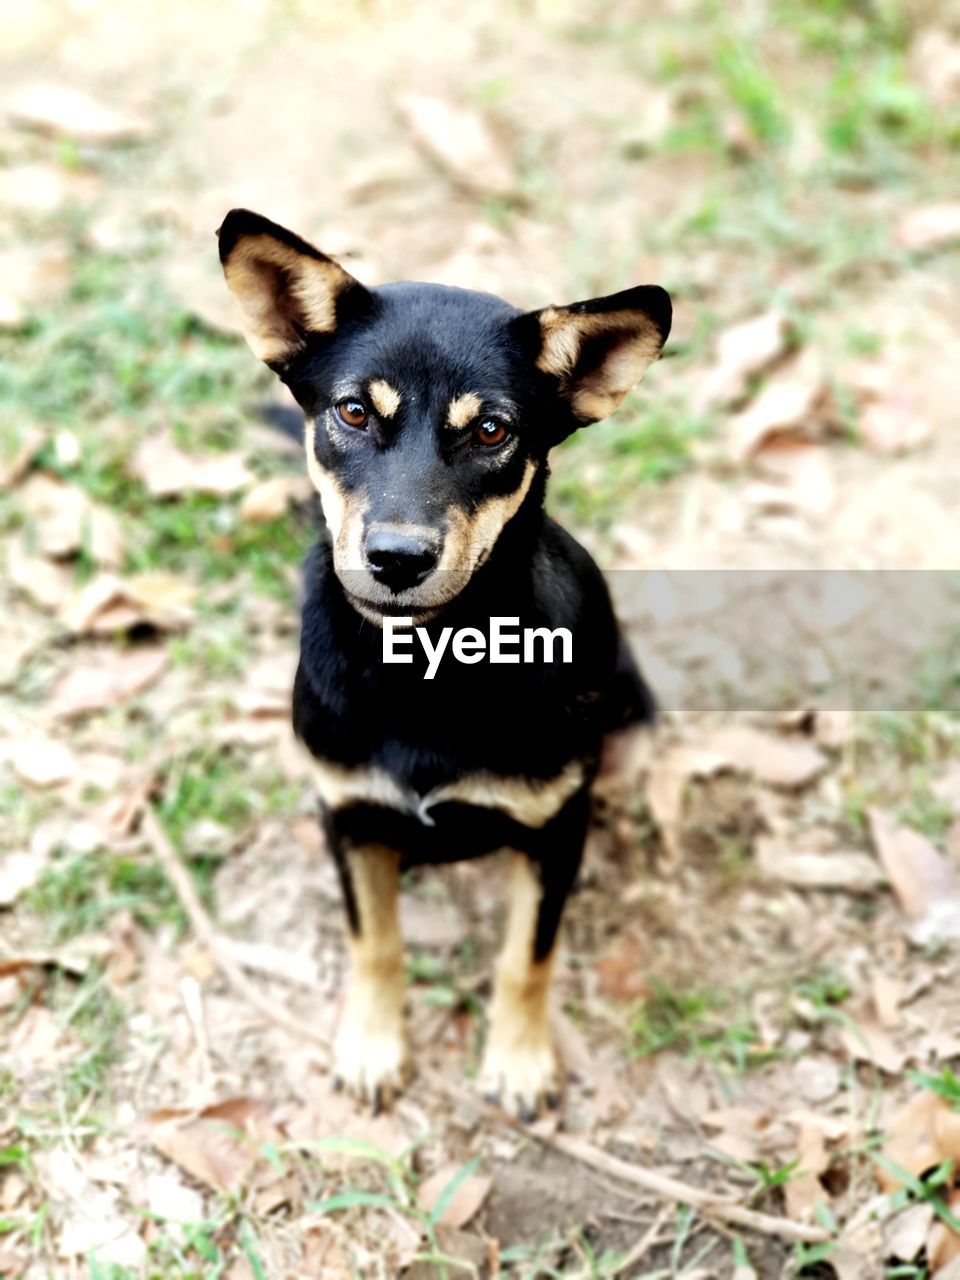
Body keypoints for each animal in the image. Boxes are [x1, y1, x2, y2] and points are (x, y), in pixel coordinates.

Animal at [218, 209, 670, 1121]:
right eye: (353, 412)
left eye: (493, 431)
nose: (396, 559)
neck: (424, 669)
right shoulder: (350, 818)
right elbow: (375, 943)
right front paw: (372, 1044)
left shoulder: (554, 832)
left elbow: (526, 957)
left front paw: (519, 1060)